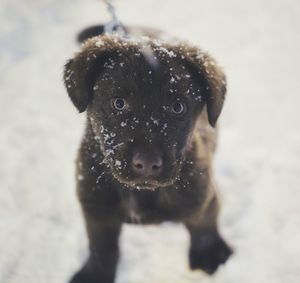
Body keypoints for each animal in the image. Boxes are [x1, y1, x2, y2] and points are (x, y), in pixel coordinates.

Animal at [63, 28, 232, 283]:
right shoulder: (95, 206)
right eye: (119, 103)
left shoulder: (202, 195)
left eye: (177, 107)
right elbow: (101, 246)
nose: (147, 163)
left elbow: (203, 225)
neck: (143, 193)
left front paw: (209, 256)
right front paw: (95, 275)